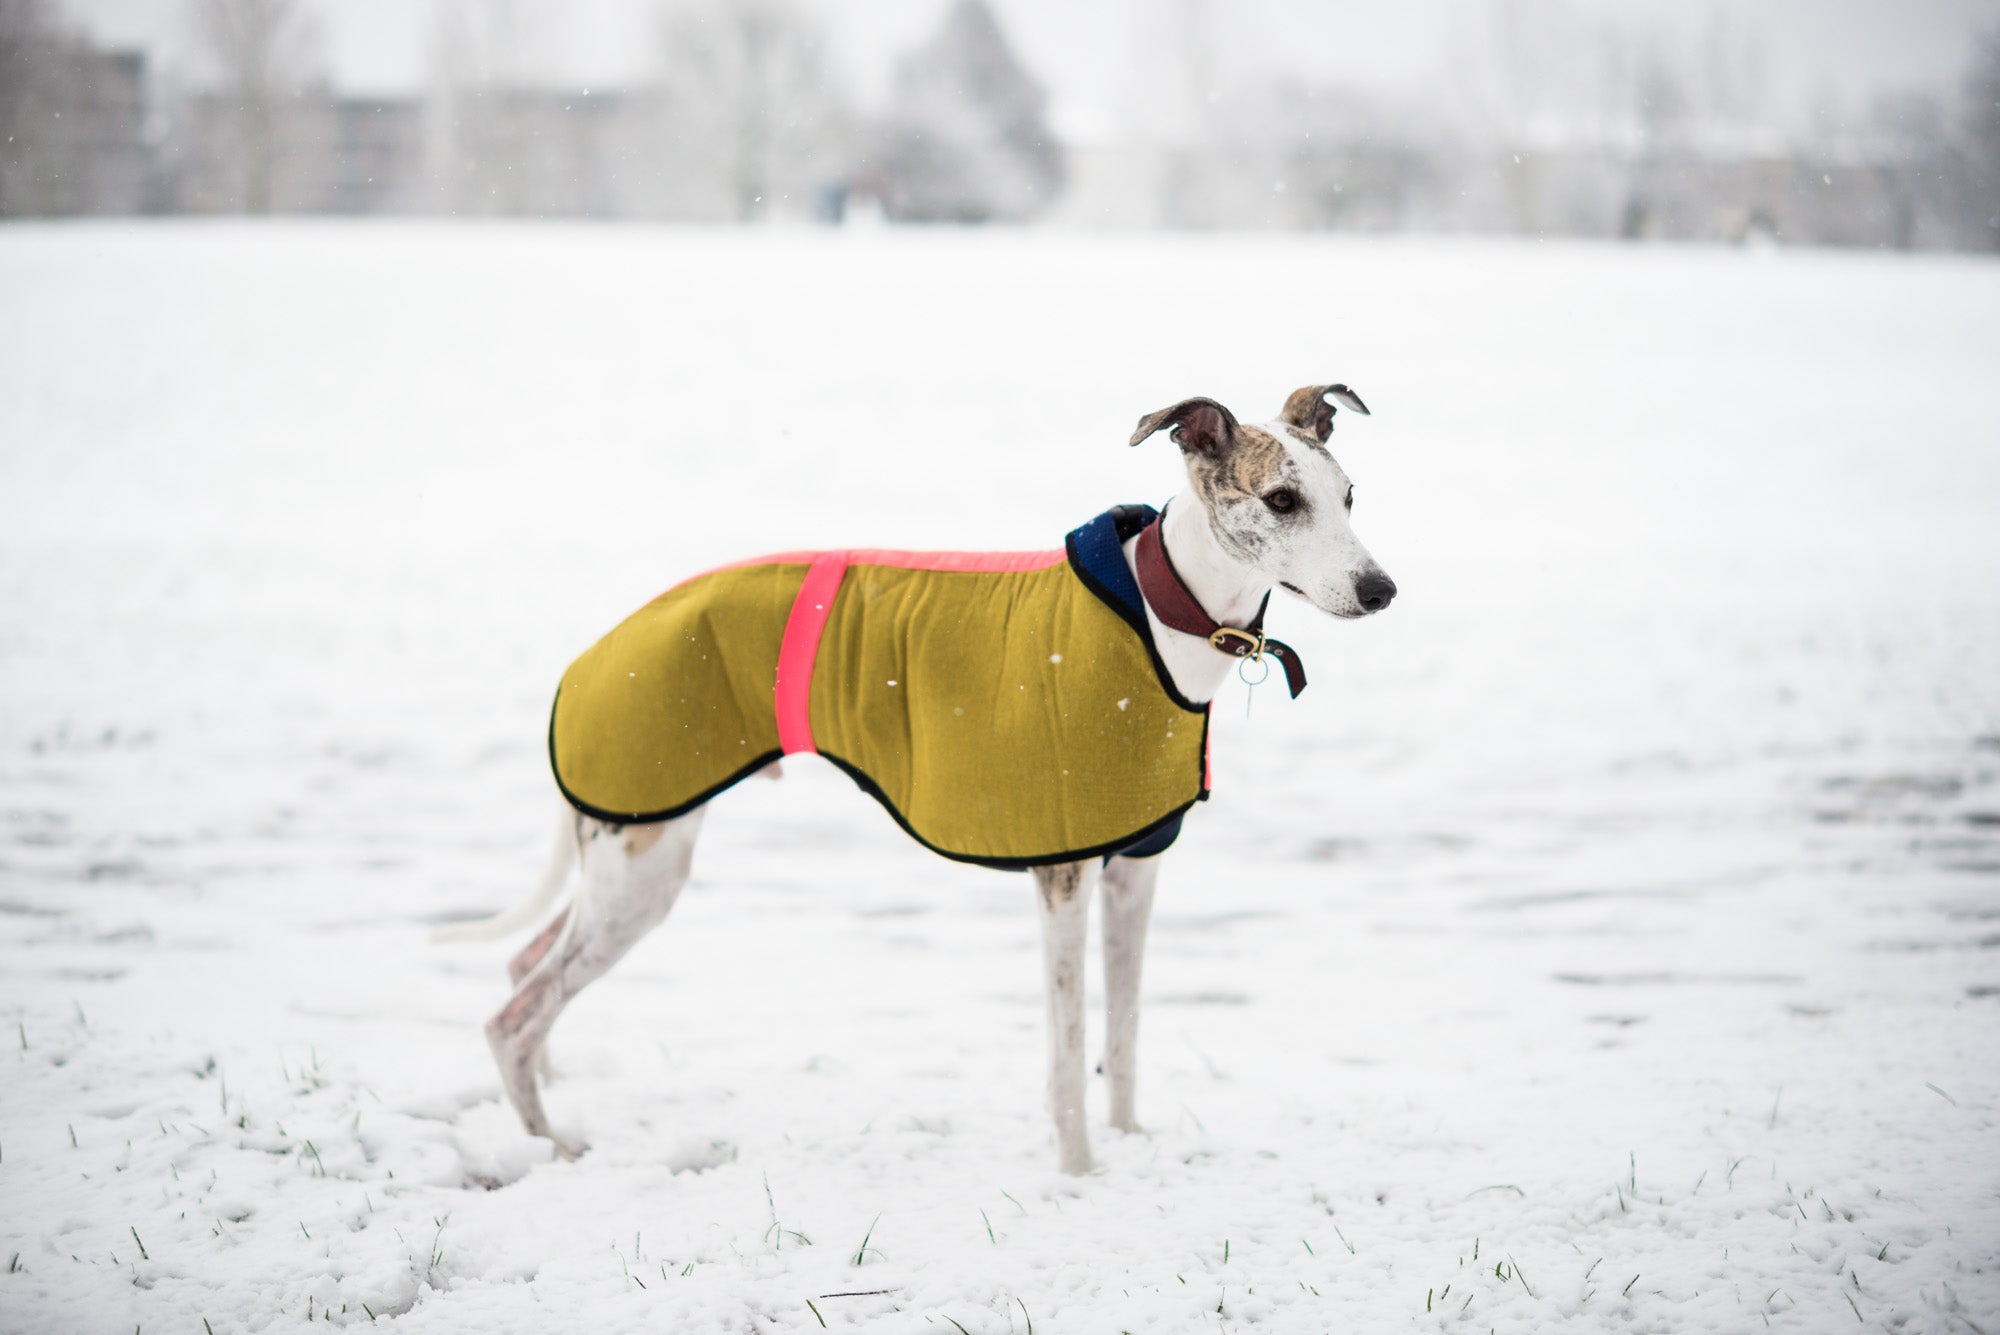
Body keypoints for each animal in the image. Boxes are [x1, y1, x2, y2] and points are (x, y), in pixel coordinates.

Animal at [446, 383, 1400, 1167]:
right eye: (1282, 499)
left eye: (1350, 496)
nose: (1381, 589)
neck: (1163, 613)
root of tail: (592, 654)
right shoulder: (1063, 874)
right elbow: (1069, 1049)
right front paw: (1081, 1175)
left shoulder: (1135, 869)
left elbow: (1122, 1034)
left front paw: (1130, 1145)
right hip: (641, 863)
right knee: (510, 1017)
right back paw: (553, 1145)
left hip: (623, 855)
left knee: (524, 967)